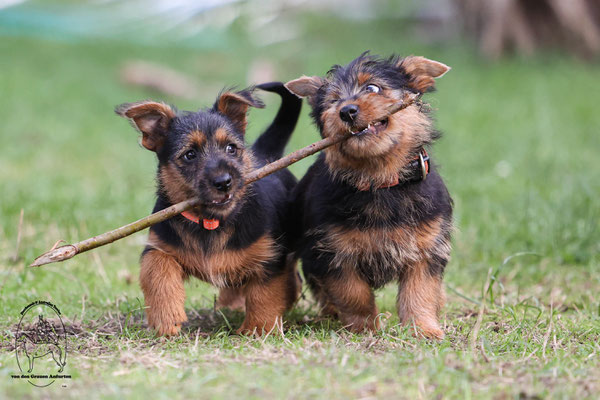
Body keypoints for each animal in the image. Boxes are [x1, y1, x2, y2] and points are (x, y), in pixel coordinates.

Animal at [116, 83, 302, 336]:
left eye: (231, 148)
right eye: (190, 154)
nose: (224, 182)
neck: (211, 221)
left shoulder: (270, 257)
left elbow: (265, 294)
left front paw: (258, 330)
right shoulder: (158, 247)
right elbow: (157, 272)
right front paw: (166, 317)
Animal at [284, 54, 450, 338]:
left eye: (372, 88)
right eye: (333, 100)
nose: (346, 111)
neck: (379, 180)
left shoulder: (427, 247)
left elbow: (420, 291)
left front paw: (423, 329)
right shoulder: (331, 252)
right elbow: (353, 292)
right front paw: (365, 328)